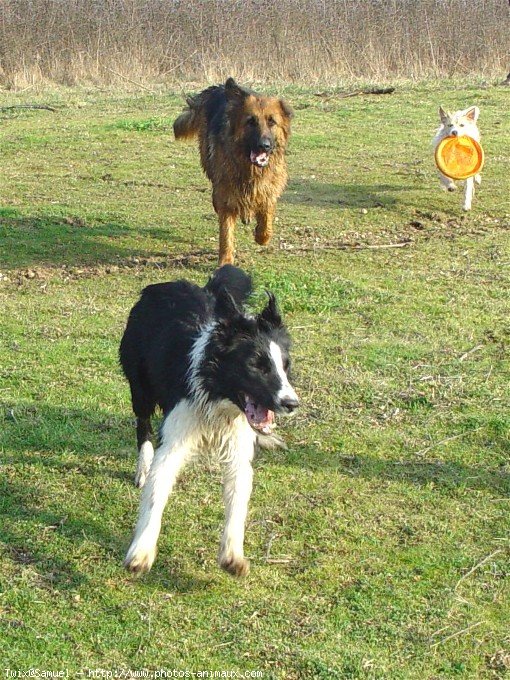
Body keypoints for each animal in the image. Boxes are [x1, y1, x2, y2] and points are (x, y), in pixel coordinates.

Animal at [173, 76, 292, 262]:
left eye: (272, 122)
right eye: (251, 122)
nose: (264, 146)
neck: (251, 170)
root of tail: (219, 87)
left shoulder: (270, 187)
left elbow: (267, 212)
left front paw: (262, 235)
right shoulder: (226, 196)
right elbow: (226, 234)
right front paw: (225, 261)